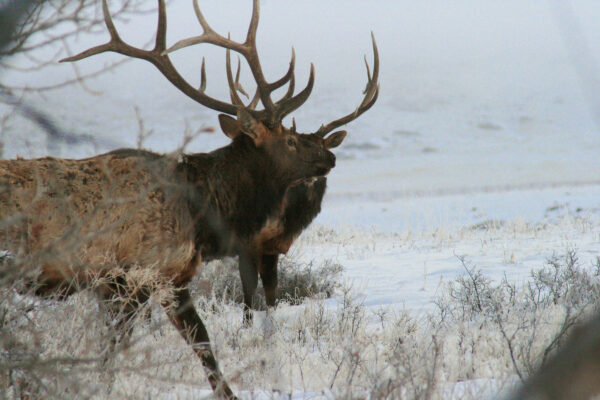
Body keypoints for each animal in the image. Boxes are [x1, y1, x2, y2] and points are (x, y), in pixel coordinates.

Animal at [0, 0, 380, 396]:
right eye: (291, 140)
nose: (330, 157)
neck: (202, 219)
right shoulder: (143, 271)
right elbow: (194, 344)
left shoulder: (148, 278)